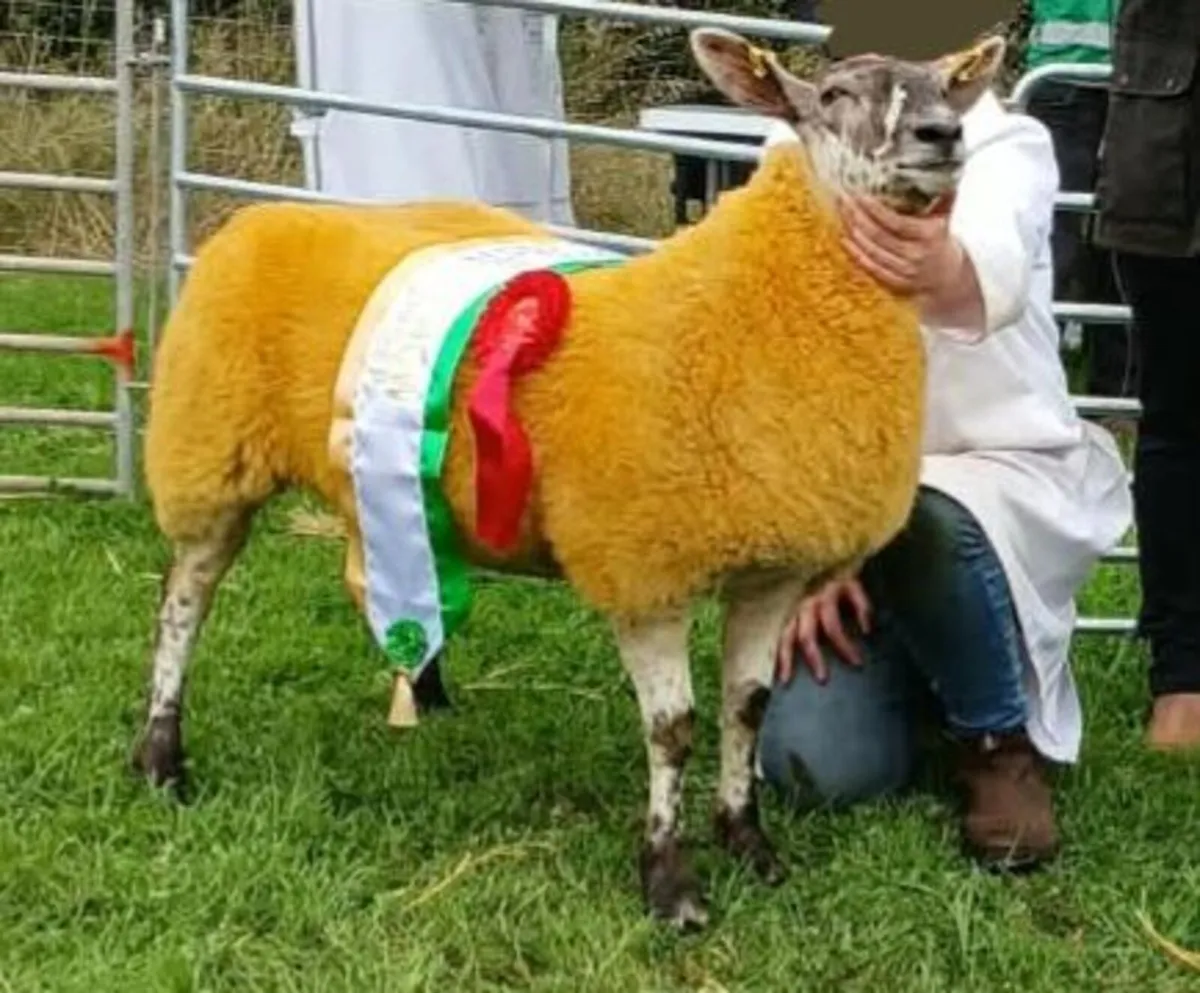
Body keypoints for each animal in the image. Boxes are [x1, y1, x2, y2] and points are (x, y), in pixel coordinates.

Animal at [134, 28, 1007, 930]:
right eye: (832, 96)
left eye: (948, 88)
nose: (941, 135)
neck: (748, 305)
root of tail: (259, 214)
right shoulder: (644, 568)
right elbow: (674, 729)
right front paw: (670, 881)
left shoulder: (773, 571)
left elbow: (747, 706)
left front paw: (750, 843)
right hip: (209, 453)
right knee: (181, 602)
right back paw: (162, 758)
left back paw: (425, 685)